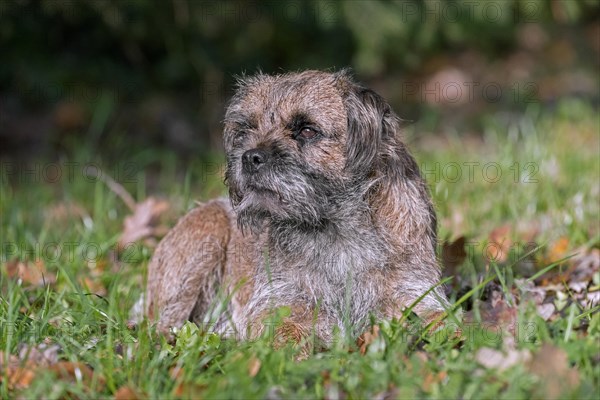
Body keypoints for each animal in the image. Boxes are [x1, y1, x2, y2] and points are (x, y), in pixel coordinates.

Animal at [143, 69, 448, 350]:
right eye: (245, 131)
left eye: (307, 130)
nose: (250, 157)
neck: (337, 229)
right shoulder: (278, 301)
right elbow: (285, 334)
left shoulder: (416, 295)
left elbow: (445, 323)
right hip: (206, 234)